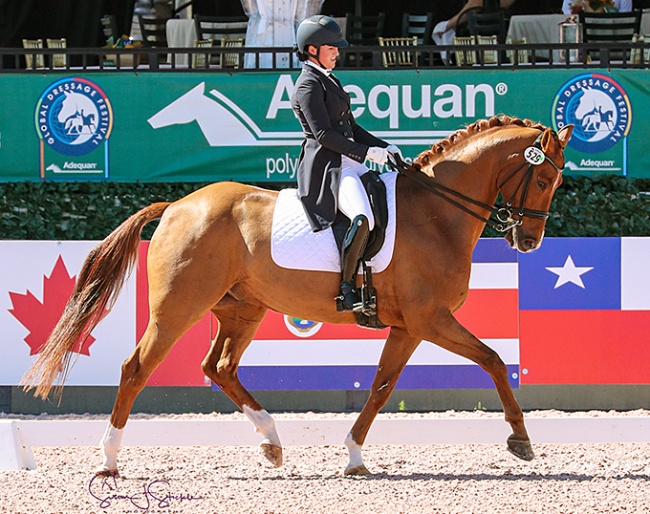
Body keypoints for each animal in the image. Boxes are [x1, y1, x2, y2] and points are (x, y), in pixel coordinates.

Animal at [21, 114, 572, 474]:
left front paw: (354, 456)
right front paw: (521, 439)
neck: (436, 213)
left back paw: (271, 442)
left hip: (243, 310)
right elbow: (494, 359)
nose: (529, 240)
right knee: (137, 369)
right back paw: (109, 461)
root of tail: (177, 205)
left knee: (218, 367)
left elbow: (381, 386)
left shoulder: (408, 326)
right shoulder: (430, 319)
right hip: (178, 308)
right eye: (545, 177)